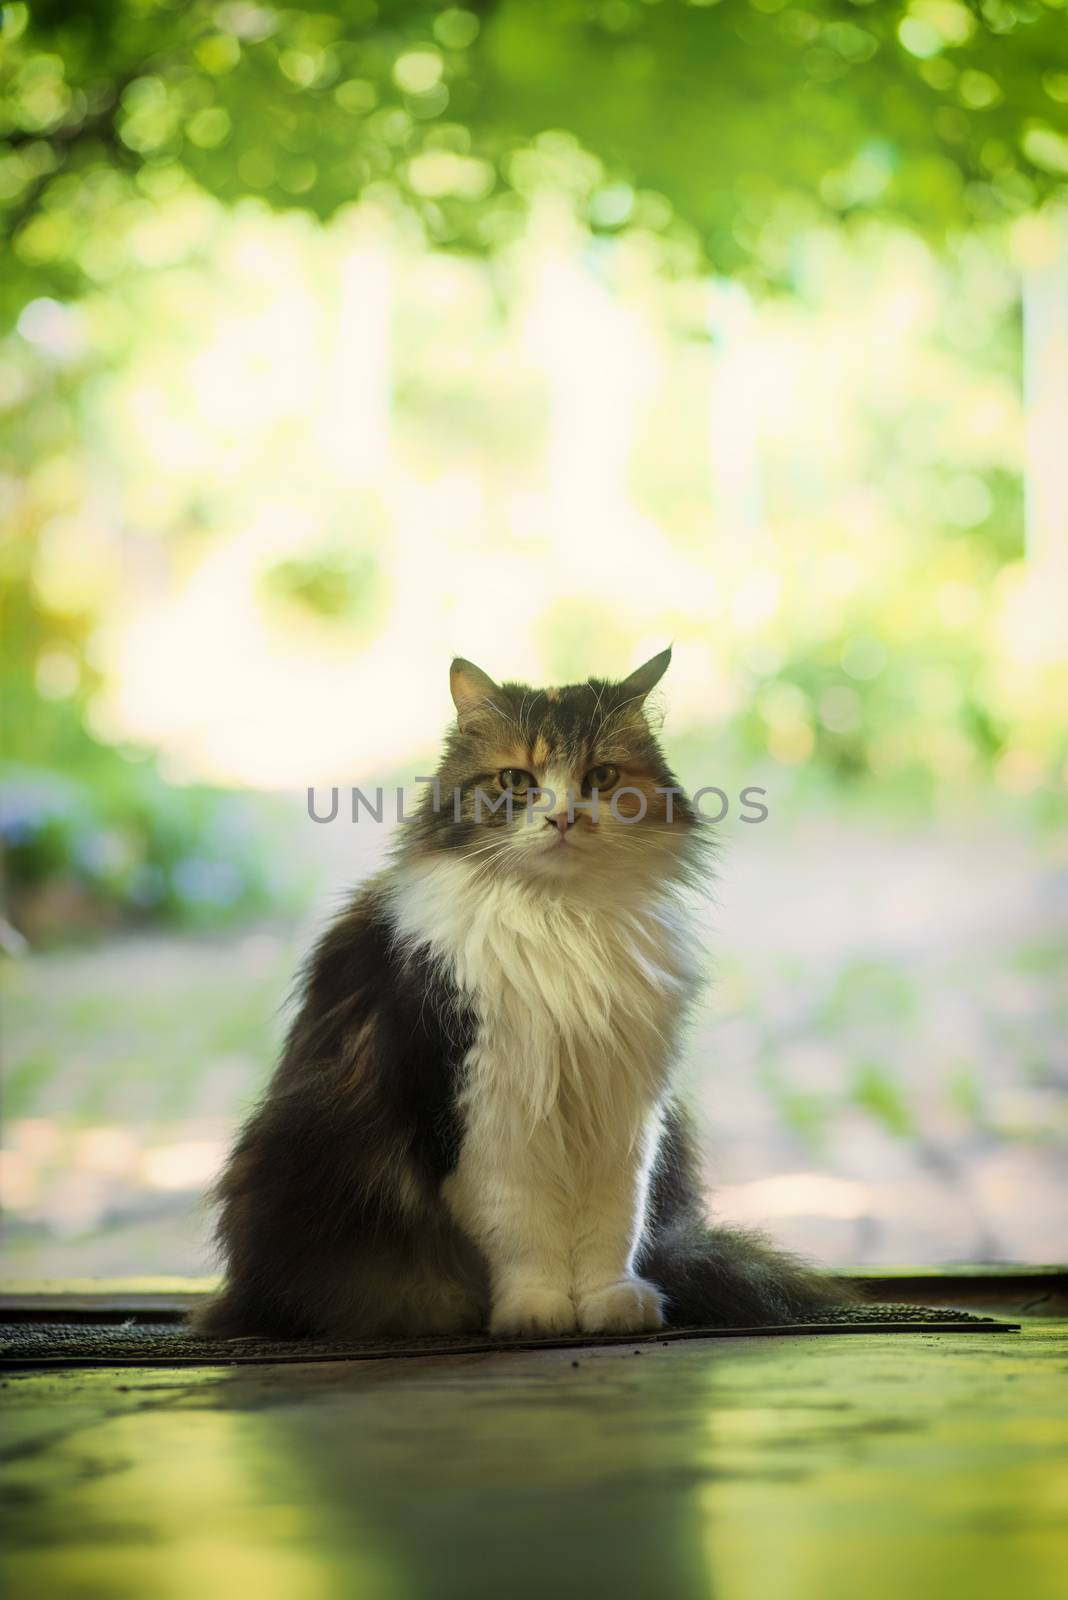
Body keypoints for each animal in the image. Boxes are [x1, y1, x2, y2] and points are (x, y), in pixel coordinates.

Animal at [194, 649, 844, 1337]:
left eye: (601, 776)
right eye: (515, 780)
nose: (564, 818)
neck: (561, 920)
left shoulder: (622, 1107)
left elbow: (614, 1224)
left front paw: (610, 1305)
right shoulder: (482, 1103)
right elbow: (522, 1228)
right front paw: (537, 1311)